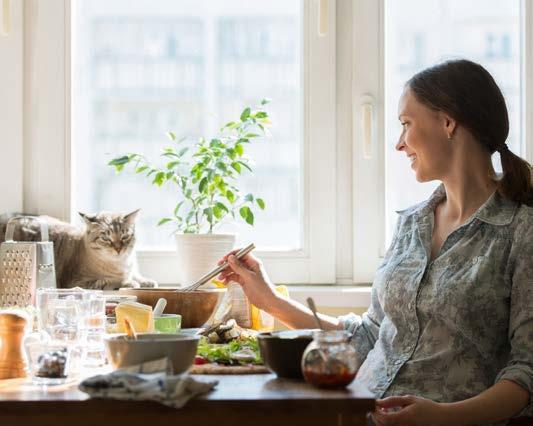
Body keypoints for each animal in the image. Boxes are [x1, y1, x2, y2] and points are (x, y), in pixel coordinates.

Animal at [0, 210, 157, 290]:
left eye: (125, 237)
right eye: (106, 238)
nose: (118, 249)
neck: (121, 264)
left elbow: (137, 276)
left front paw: (147, 282)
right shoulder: (78, 282)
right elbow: (111, 281)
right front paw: (129, 282)